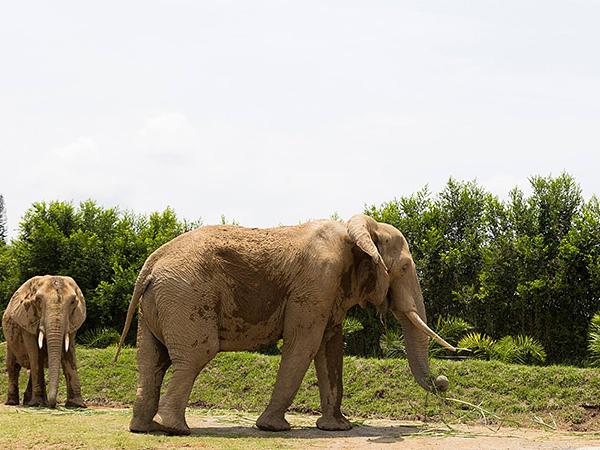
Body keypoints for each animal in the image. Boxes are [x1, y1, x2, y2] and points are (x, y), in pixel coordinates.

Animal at [1, 274, 86, 408]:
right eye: (39, 301)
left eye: (73, 302)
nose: (54, 404)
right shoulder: (27, 319)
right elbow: (35, 353)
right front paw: (38, 403)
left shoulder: (73, 321)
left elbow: (69, 354)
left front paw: (76, 405)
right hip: (10, 341)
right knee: (13, 366)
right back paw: (14, 403)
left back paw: (30, 402)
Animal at [116, 216, 454, 434]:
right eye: (405, 267)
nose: (442, 381)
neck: (356, 229)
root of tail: (150, 264)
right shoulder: (317, 282)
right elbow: (304, 345)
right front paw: (272, 428)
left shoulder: (330, 292)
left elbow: (330, 349)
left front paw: (337, 428)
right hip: (185, 295)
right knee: (195, 355)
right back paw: (175, 430)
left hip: (158, 303)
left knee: (151, 359)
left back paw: (144, 428)